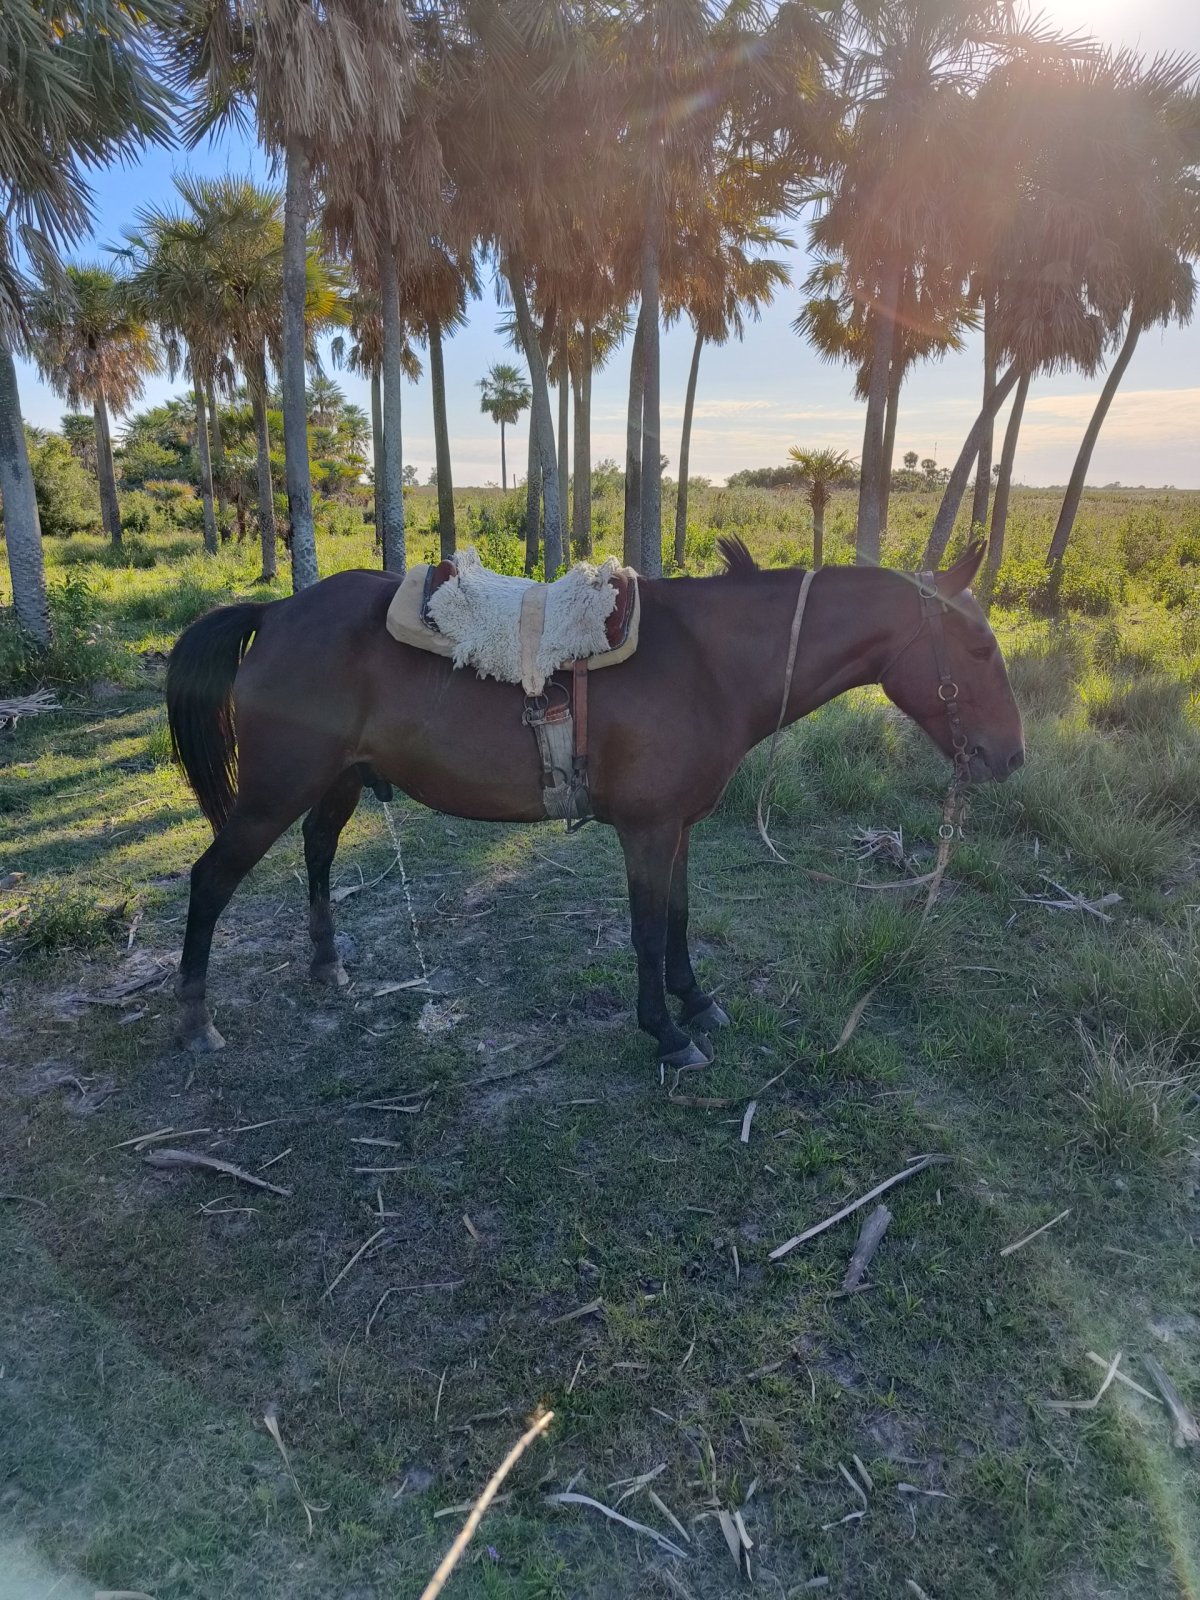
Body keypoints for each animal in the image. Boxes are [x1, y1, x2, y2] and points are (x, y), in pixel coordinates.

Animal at [162, 534, 1024, 1062]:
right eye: (978, 648)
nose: (1010, 757)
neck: (709, 662)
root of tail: (277, 610)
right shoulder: (645, 830)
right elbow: (644, 931)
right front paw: (666, 1034)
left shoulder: (677, 827)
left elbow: (678, 919)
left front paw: (695, 1001)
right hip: (273, 791)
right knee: (212, 880)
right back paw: (195, 1021)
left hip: (335, 780)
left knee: (318, 849)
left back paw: (326, 964)